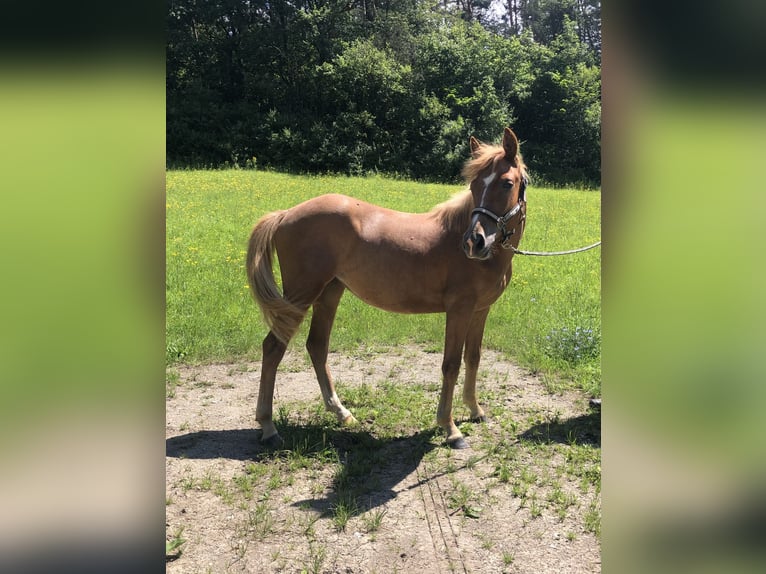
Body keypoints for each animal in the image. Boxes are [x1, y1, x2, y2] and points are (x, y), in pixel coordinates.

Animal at [249, 127, 532, 450]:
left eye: (507, 183)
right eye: (474, 185)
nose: (475, 242)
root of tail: (285, 214)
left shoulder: (480, 310)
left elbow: (473, 358)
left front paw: (475, 411)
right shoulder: (459, 310)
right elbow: (450, 364)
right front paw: (450, 429)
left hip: (329, 293)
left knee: (317, 346)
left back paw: (342, 413)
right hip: (301, 294)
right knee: (274, 347)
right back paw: (269, 427)